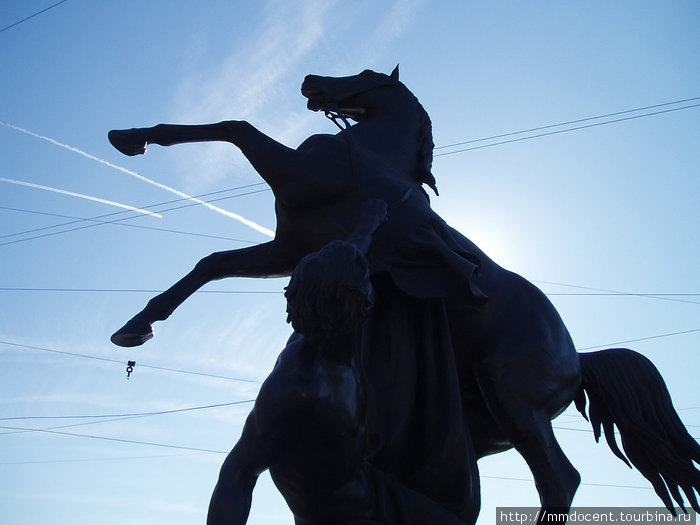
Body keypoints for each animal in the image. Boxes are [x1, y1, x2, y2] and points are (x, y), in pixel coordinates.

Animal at [106, 66, 696, 520]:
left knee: (560, 478)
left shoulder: (292, 186)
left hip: (514, 401)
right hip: (490, 417)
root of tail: (577, 356)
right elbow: (210, 264)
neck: (364, 156)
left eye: (365, 74)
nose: (312, 81)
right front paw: (136, 326)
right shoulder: (289, 251)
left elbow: (236, 124)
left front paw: (131, 138)